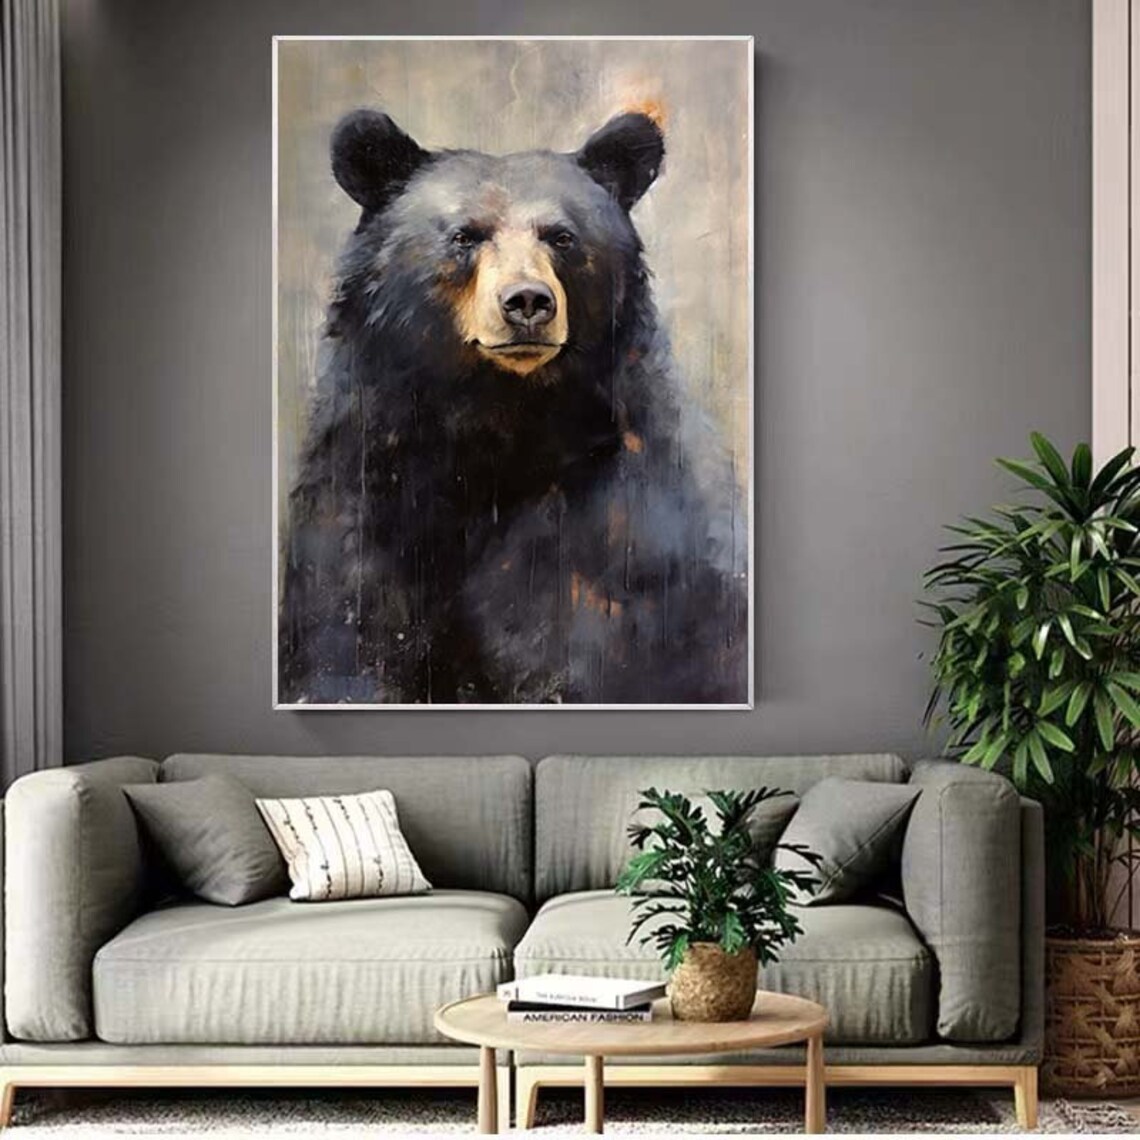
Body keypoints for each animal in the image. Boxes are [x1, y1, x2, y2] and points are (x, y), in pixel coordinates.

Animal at [278, 108, 748, 705]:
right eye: (464, 236)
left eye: (562, 237)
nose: (527, 301)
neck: (497, 424)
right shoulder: (364, 487)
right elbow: (343, 640)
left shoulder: (626, 532)